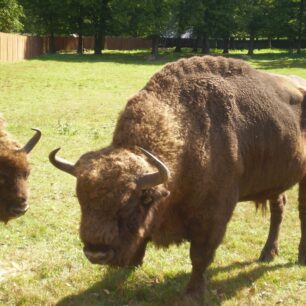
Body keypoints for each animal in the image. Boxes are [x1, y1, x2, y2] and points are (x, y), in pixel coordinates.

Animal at [49, 56, 306, 302]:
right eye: (81, 200)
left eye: (129, 205)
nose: (96, 253)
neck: (186, 131)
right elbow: (144, 237)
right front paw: (130, 266)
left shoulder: (213, 216)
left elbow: (200, 256)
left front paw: (193, 294)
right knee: (278, 209)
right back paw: (268, 253)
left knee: (300, 213)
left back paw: (299, 257)